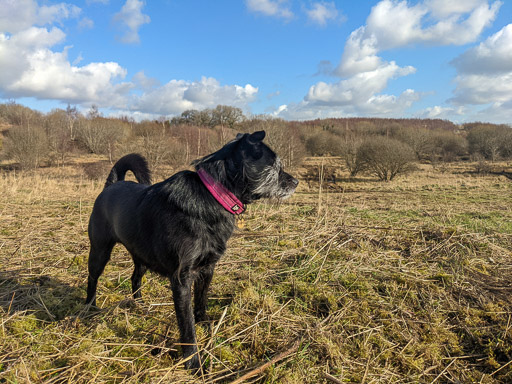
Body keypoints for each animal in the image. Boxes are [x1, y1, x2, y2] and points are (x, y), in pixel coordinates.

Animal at [84, 131, 298, 368]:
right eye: (275, 166)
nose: (296, 182)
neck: (213, 195)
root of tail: (111, 185)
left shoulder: (207, 269)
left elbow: (201, 300)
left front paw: (204, 322)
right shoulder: (182, 279)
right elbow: (186, 325)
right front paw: (193, 361)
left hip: (142, 256)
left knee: (134, 277)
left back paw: (139, 303)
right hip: (100, 251)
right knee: (92, 278)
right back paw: (89, 308)